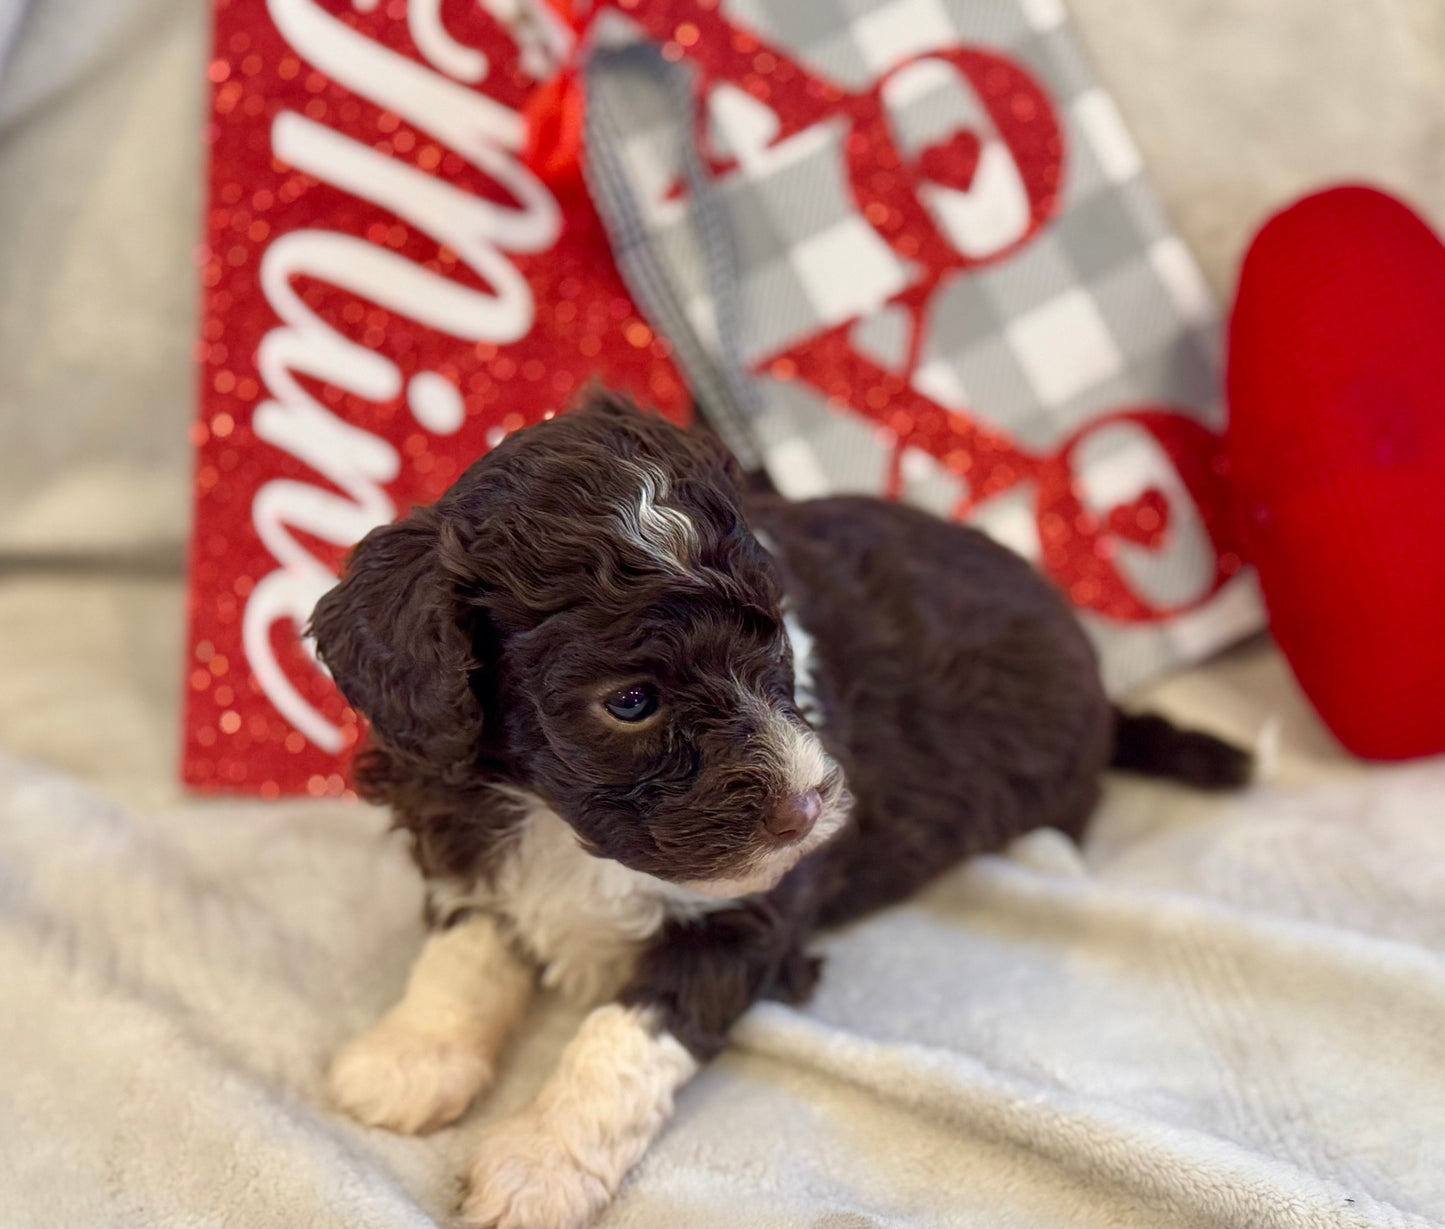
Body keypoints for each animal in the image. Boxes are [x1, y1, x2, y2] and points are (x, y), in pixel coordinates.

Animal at [310, 389, 1248, 1224]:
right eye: (630, 701)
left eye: (773, 640)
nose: (807, 811)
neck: (558, 824)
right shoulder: (457, 815)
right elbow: (465, 947)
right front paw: (412, 1054)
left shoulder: (748, 915)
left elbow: (622, 1040)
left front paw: (539, 1163)